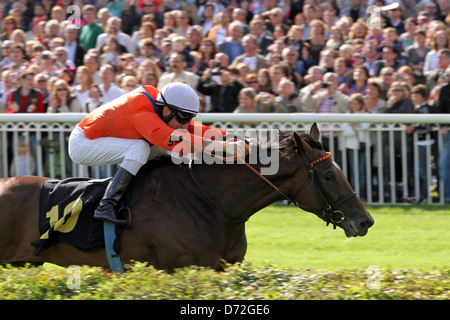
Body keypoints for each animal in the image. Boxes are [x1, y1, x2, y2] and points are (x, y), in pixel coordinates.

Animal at [0, 125, 372, 270]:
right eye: (328, 176)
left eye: (339, 170)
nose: (365, 220)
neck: (210, 203)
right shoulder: (182, 267)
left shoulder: (226, 266)